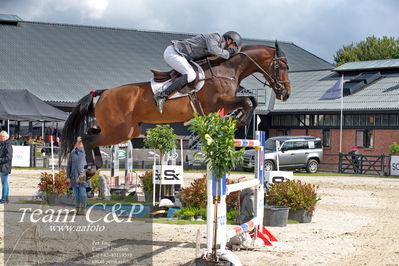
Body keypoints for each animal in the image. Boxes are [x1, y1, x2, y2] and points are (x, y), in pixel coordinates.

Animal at [61, 41, 292, 179]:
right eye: (280, 67)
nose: (286, 94)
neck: (227, 69)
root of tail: (104, 92)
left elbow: (250, 101)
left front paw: (236, 120)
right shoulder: (218, 102)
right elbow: (248, 101)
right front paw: (237, 120)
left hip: (124, 129)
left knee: (89, 134)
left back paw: (93, 168)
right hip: (120, 131)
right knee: (88, 138)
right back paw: (90, 169)